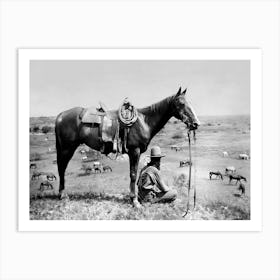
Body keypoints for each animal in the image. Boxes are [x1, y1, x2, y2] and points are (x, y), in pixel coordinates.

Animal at [54, 87, 199, 208]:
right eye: (181, 104)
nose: (195, 123)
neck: (144, 121)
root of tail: (60, 116)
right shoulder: (135, 151)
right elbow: (133, 175)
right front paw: (134, 201)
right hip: (67, 148)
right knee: (62, 168)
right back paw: (63, 195)